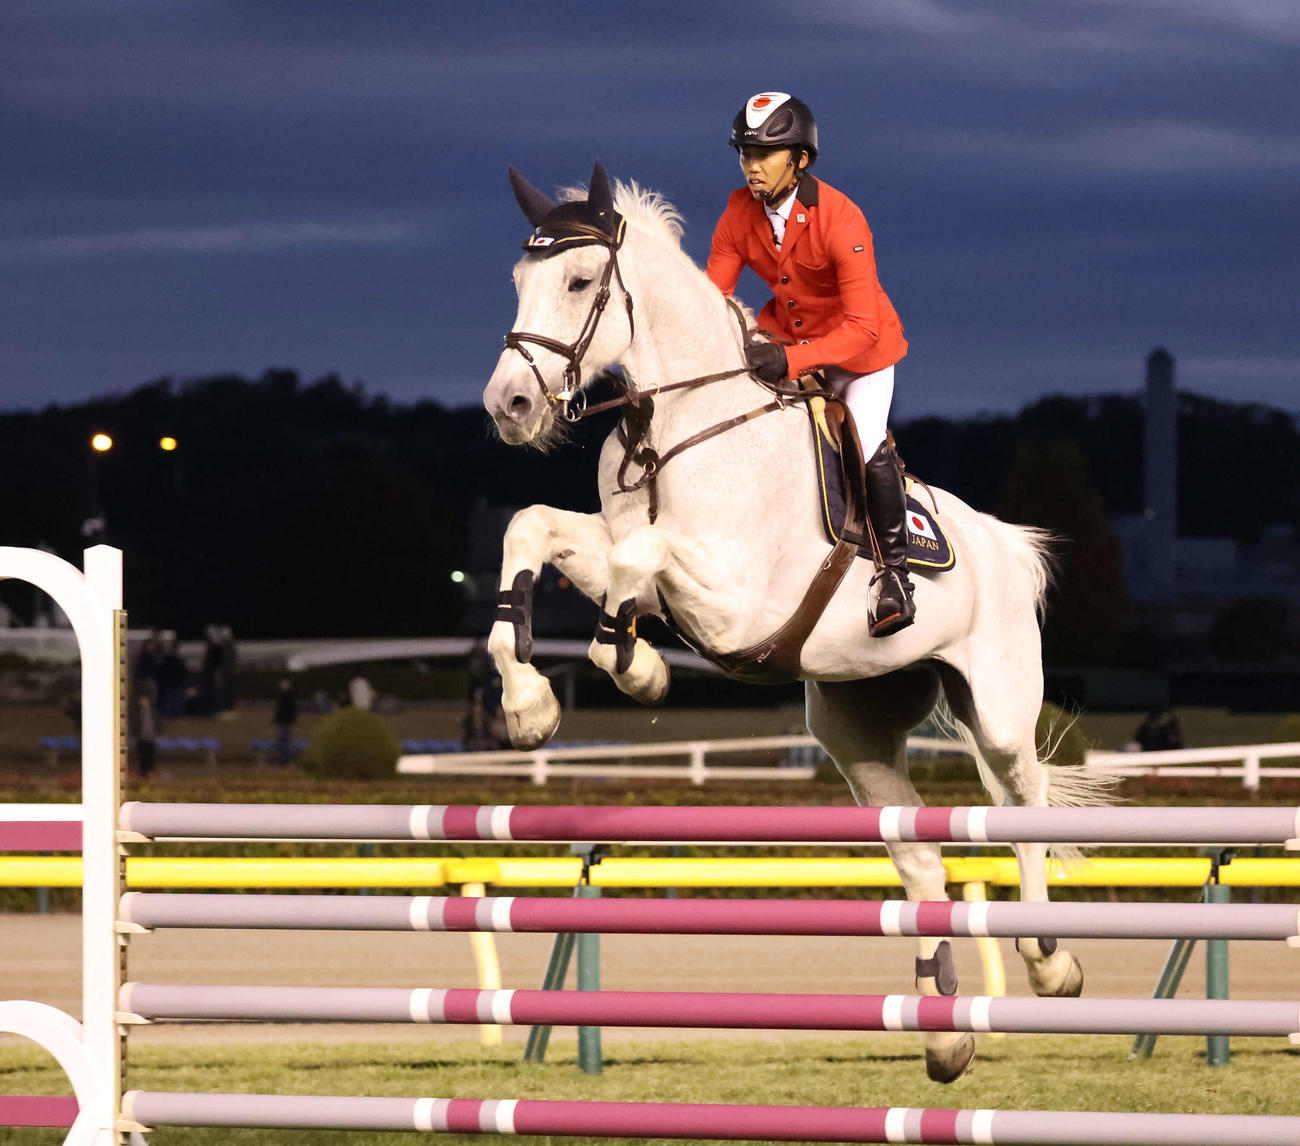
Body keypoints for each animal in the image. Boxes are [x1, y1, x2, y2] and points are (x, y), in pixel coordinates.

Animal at [481, 162, 1112, 1082]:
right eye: (517, 280)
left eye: (580, 280)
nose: (511, 404)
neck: (672, 427)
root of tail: (1007, 543)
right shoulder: (643, 559)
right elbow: (535, 528)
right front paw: (534, 704)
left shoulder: (734, 595)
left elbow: (638, 559)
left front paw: (634, 667)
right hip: (857, 730)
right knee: (919, 856)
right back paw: (944, 1035)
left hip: (997, 707)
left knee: (1020, 801)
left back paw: (1051, 961)